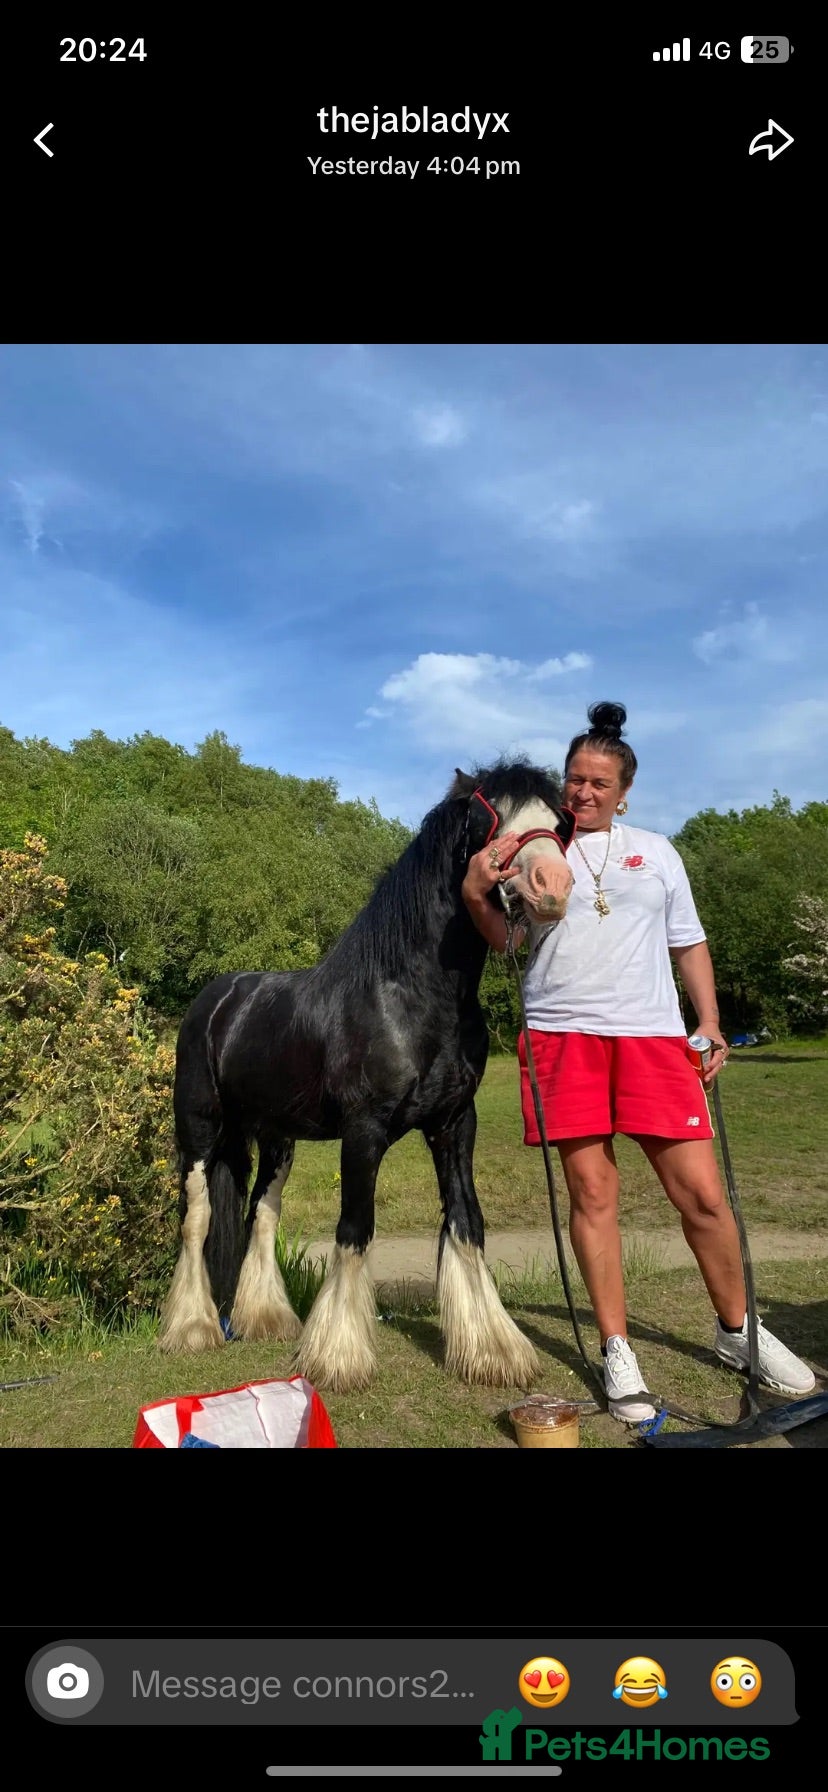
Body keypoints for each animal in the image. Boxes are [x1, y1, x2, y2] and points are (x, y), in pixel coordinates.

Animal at [157, 758, 576, 1392]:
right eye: (491, 818)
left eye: (558, 822)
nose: (553, 885)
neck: (410, 997)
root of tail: (219, 999)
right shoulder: (364, 1132)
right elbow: (355, 1228)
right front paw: (338, 1356)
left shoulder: (456, 1125)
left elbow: (466, 1223)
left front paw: (492, 1349)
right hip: (200, 1133)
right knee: (198, 1219)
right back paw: (192, 1328)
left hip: (278, 1140)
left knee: (261, 1213)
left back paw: (266, 1319)